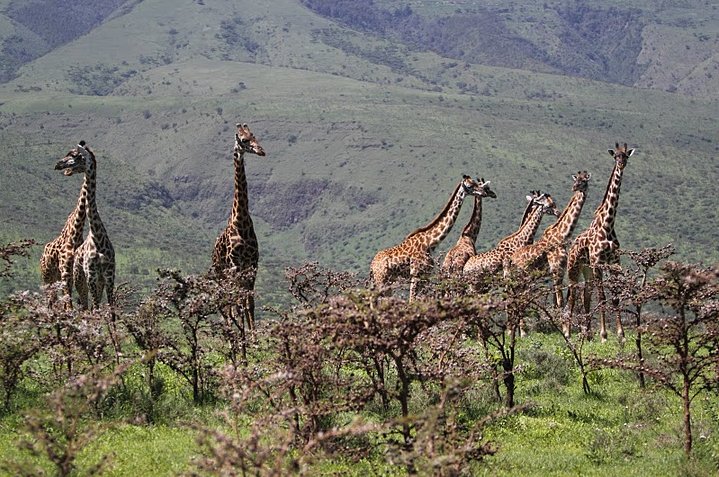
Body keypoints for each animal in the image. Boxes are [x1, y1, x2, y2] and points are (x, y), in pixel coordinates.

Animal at [40, 143, 88, 304]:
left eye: (74, 156)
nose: (58, 165)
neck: (76, 232)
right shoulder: (65, 272)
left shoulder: (73, 273)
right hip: (47, 277)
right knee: (49, 300)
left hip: (56, 278)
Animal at [54, 139, 115, 308]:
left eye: (74, 155)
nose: (58, 164)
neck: (97, 236)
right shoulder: (91, 275)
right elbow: (95, 309)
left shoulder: (109, 275)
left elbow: (111, 310)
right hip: (79, 278)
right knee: (84, 306)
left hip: (96, 281)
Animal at [212, 122, 266, 330]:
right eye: (244, 140)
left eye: (255, 136)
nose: (261, 151)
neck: (241, 220)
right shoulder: (235, 265)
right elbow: (238, 304)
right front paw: (243, 334)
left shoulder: (252, 264)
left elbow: (249, 303)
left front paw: (253, 334)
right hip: (220, 274)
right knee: (226, 304)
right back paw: (229, 330)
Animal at [506, 171, 592, 312]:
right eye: (576, 180)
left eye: (584, 181)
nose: (574, 188)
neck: (562, 234)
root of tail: (511, 260)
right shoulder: (557, 269)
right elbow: (560, 302)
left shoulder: (557, 271)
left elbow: (556, 303)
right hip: (521, 278)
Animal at [564, 143, 640, 340]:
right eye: (616, 156)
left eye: (626, 155)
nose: (621, 164)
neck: (608, 224)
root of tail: (571, 247)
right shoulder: (598, 262)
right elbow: (602, 297)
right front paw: (604, 334)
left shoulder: (614, 262)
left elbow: (615, 297)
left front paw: (621, 334)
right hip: (574, 269)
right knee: (573, 296)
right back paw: (568, 332)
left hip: (587, 270)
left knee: (585, 295)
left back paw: (588, 333)